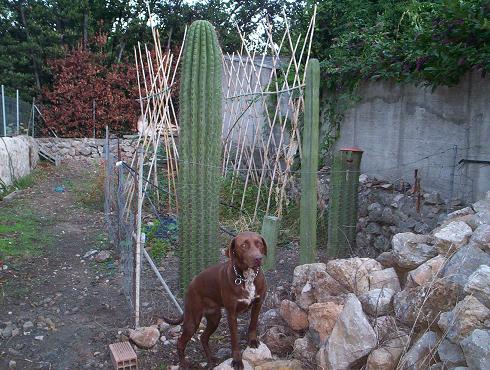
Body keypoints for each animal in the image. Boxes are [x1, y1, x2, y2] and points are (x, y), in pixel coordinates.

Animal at [163, 230, 266, 368]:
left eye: (259, 243)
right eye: (244, 245)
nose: (258, 258)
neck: (246, 277)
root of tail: (191, 284)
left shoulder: (258, 304)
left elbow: (253, 324)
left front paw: (253, 341)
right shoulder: (231, 314)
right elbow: (234, 340)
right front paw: (237, 360)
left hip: (214, 318)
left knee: (203, 337)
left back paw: (211, 359)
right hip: (193, 320)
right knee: (180, 342)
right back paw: (184, 364)